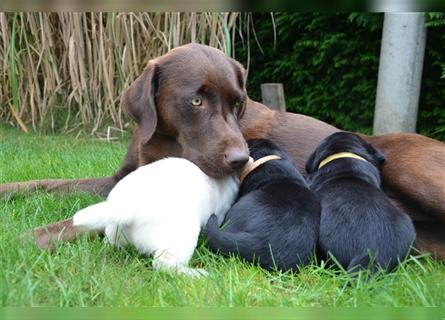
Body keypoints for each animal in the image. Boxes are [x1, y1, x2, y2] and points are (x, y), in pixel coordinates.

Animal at [72, 158, 241, 278]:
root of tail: (128, 206)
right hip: (182, 235)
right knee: (163, 264)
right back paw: (198, 274)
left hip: (114, 233)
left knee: (111, 245)